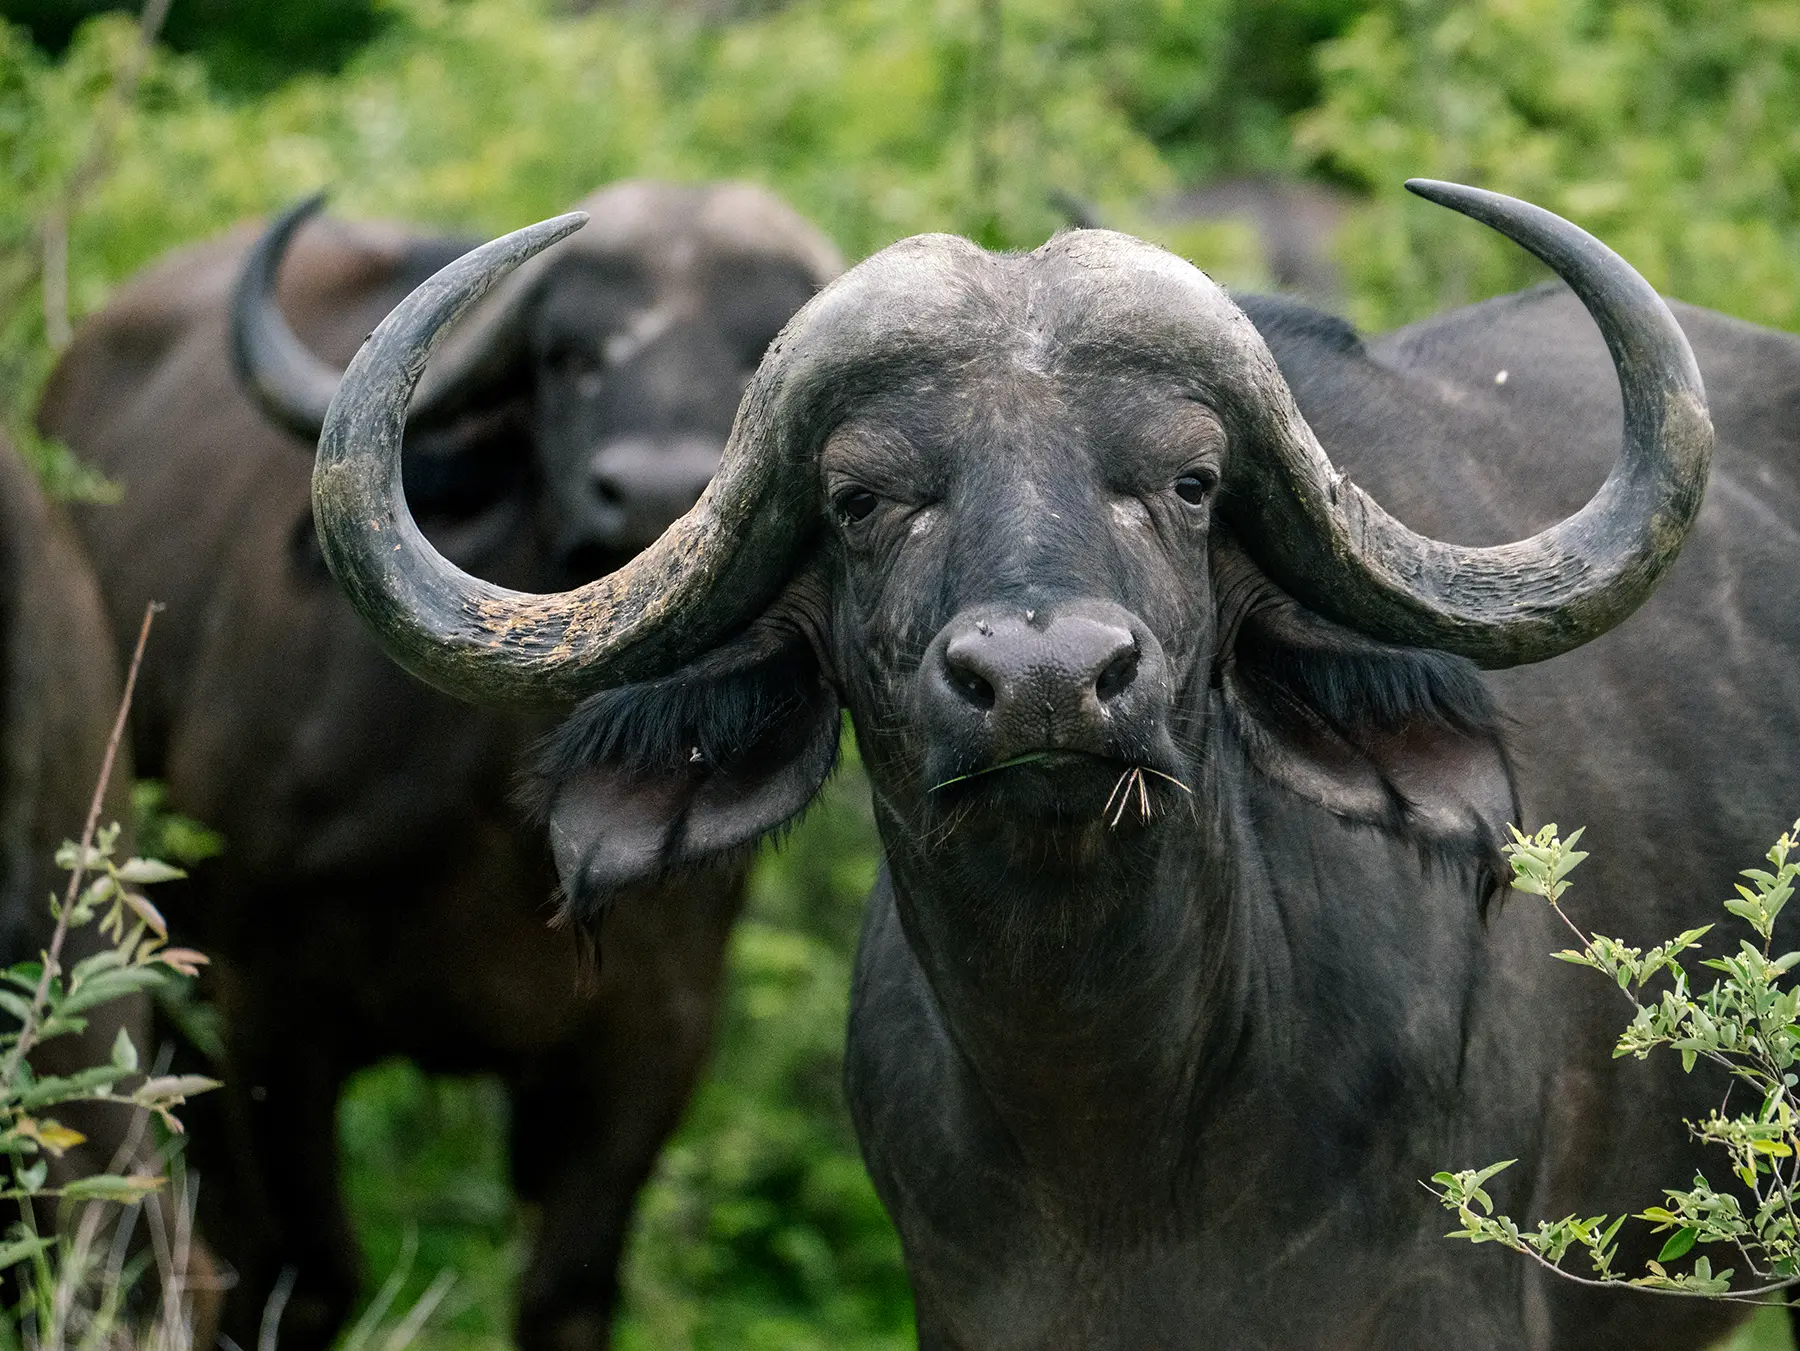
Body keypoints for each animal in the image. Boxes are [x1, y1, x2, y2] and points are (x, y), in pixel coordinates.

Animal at [35, 180, 842, 1351]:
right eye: (569, 356)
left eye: (756, 355)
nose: (653, 492)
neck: (502, 823)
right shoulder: (259, 1014)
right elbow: (302, 1275)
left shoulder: (651, 1041)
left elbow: (564, 1295)